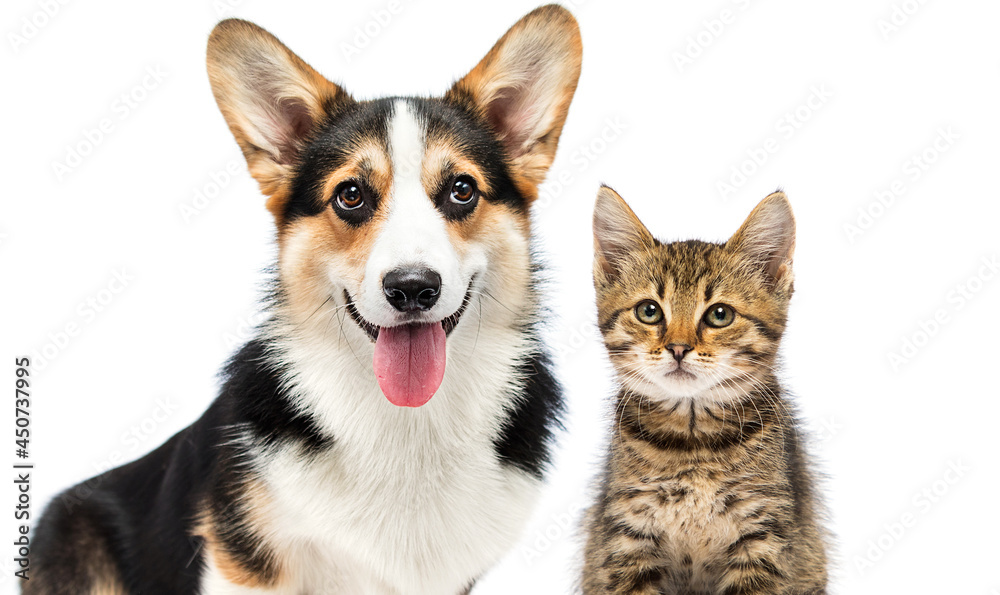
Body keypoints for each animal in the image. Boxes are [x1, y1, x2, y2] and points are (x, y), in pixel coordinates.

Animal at [584, 187, 824, 595]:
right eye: (649, 311)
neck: (693, 443)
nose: (679, 348)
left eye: (719, 315)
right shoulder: (628, 538)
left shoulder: (763, 538)